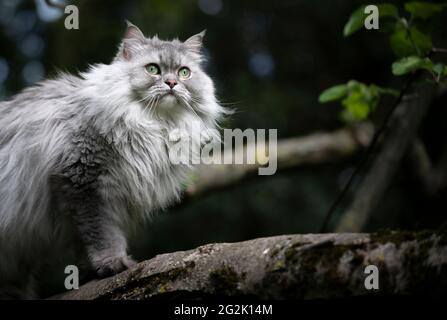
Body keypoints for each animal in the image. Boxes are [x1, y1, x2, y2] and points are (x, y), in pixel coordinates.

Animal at [0, 21, 226, 298]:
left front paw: (92, 271)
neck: (156, 125)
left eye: (184, 73)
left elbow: (87, 241)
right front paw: (112, 264)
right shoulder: (82, 182)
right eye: (153, 69)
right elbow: (101, 233)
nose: (172, 82)